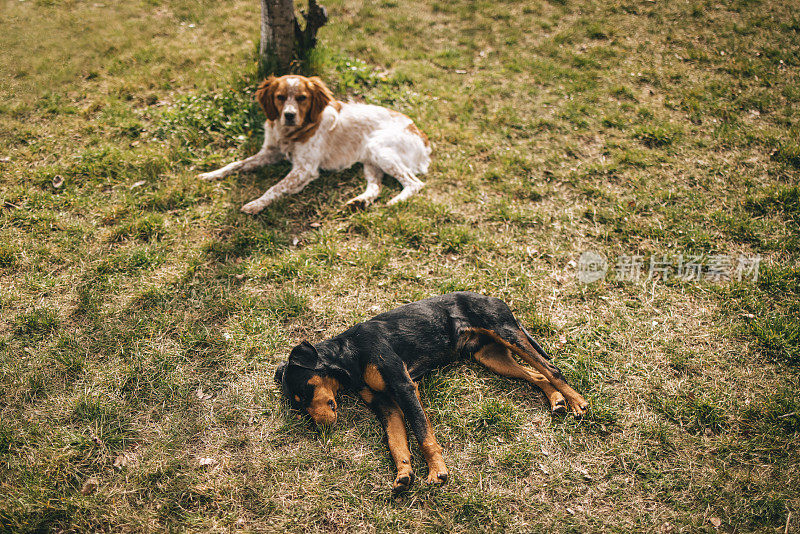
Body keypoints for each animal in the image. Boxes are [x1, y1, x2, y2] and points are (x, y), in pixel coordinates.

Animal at [276, 294, 588, 494]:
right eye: (298, 405)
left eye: (305, 390)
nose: (319, 428)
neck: (350, 353)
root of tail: (494, 297)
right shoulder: (386, 405)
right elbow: (397, 443)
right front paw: (404, 474)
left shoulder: (404, 387)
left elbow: (422, 435)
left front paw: (437, 471)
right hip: (491, 357)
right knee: (537, 375)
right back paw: (557, 401)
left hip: (508, 334)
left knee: (551, 369)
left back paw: (577, 402)